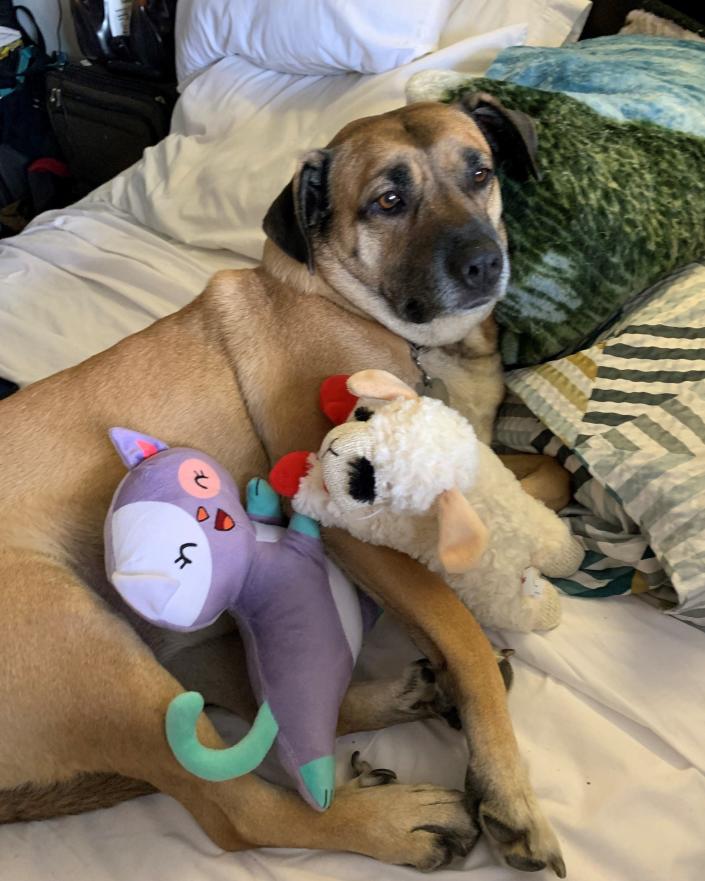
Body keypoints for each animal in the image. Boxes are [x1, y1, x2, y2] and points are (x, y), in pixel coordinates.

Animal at [0, 96, 564, 872]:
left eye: (478, 173)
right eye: (388, 202)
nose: (484, 261)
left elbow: (552, 475)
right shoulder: (349, 524)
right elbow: (465, 633)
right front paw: (508, 790)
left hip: (177, 645)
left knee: (264, 701)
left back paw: (410, 694)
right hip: (93, 651)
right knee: (238, 812)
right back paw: (399, 820)